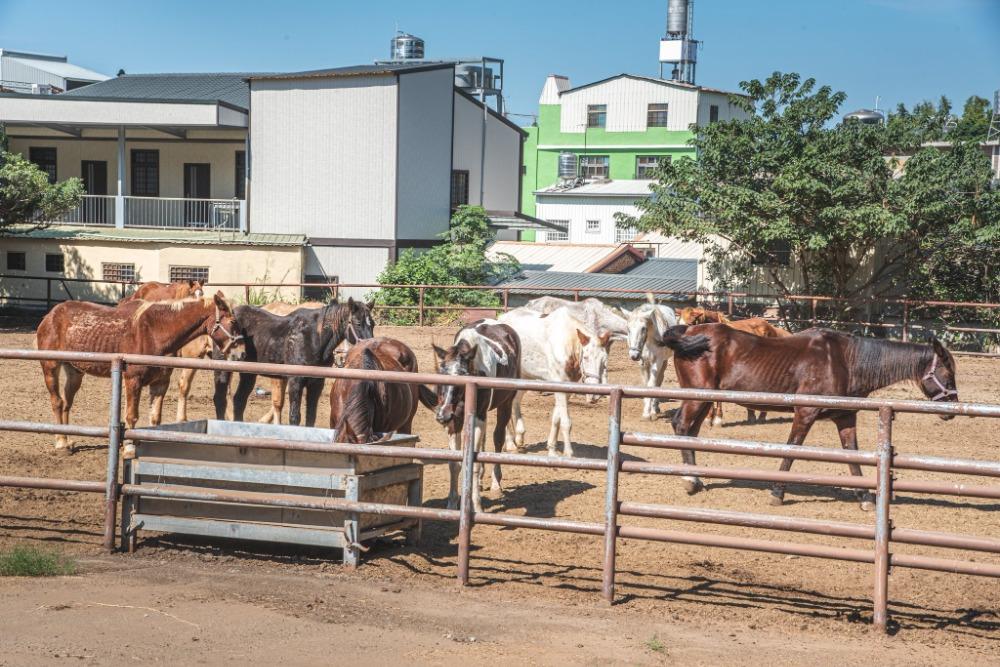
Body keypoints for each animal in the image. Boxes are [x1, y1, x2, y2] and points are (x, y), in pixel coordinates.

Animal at [37, 294, 246, 456]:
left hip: (74, 372)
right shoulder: (132, 380)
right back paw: (61, 443)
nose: (243, 354)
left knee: (66, 403)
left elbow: (155, 419)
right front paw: (129, 448)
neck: (154, 331)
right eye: (233, 322)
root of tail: (50, 315)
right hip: (50, 367)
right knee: (57, 402)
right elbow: (132, 416)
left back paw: (68, 440)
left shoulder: (161, 383)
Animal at [215, 298, 376, 426]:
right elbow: (294, 417)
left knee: (239, 400)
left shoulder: (317, 383)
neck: (313, 338)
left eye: (372, 324)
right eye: (358, 323)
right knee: (221, 397)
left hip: (248, 373)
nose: (370, 345)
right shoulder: (295, 381)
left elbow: (311, 416)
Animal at [426, 320, 520, 516]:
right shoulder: (455, 422)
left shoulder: (477, 418)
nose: (442, 415)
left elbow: (474, 464)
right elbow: (455, 464)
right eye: (441, 373)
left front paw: (476, 505)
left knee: (498, 438)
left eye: (462, 374)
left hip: (505, 404)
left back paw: (495, 483)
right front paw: (452, 504)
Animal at [498, 310, 612, 460]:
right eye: (586, 357)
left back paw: (519, 437)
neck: (567, 344)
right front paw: (568, 453)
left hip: (524, 376)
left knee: (515, 401)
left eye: (604, 361)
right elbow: (566, 423)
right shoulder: (560, 386)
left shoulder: (567, 388)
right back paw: (510, 444)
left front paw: (551, 450)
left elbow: (556, 419)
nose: (594, 396)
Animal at [652, 326, 956, 508]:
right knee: (681, 425)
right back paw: (690, 481)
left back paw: (697, 479)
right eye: (947, 371)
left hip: (705, 400)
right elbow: (792, 450)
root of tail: (689, 332)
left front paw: (864, 497)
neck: (846, 361)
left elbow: (852, 455)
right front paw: (777, 493)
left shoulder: (845, 418)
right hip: (697, 397)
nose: (952, 406)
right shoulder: (805, 413)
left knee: (691, 432)